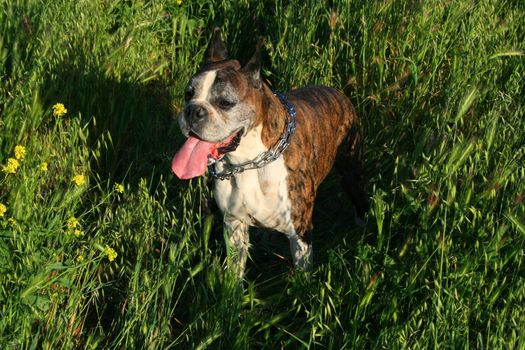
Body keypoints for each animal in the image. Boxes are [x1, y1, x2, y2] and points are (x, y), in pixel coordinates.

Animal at [170, 28, 366, 276]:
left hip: (352, 172)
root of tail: (336, 92)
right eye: (188, 94)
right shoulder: (234, 226)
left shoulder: (300, 233)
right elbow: (235, 272)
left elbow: (303, 278)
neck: (248, 161)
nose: (193, 111)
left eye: (225, 102)